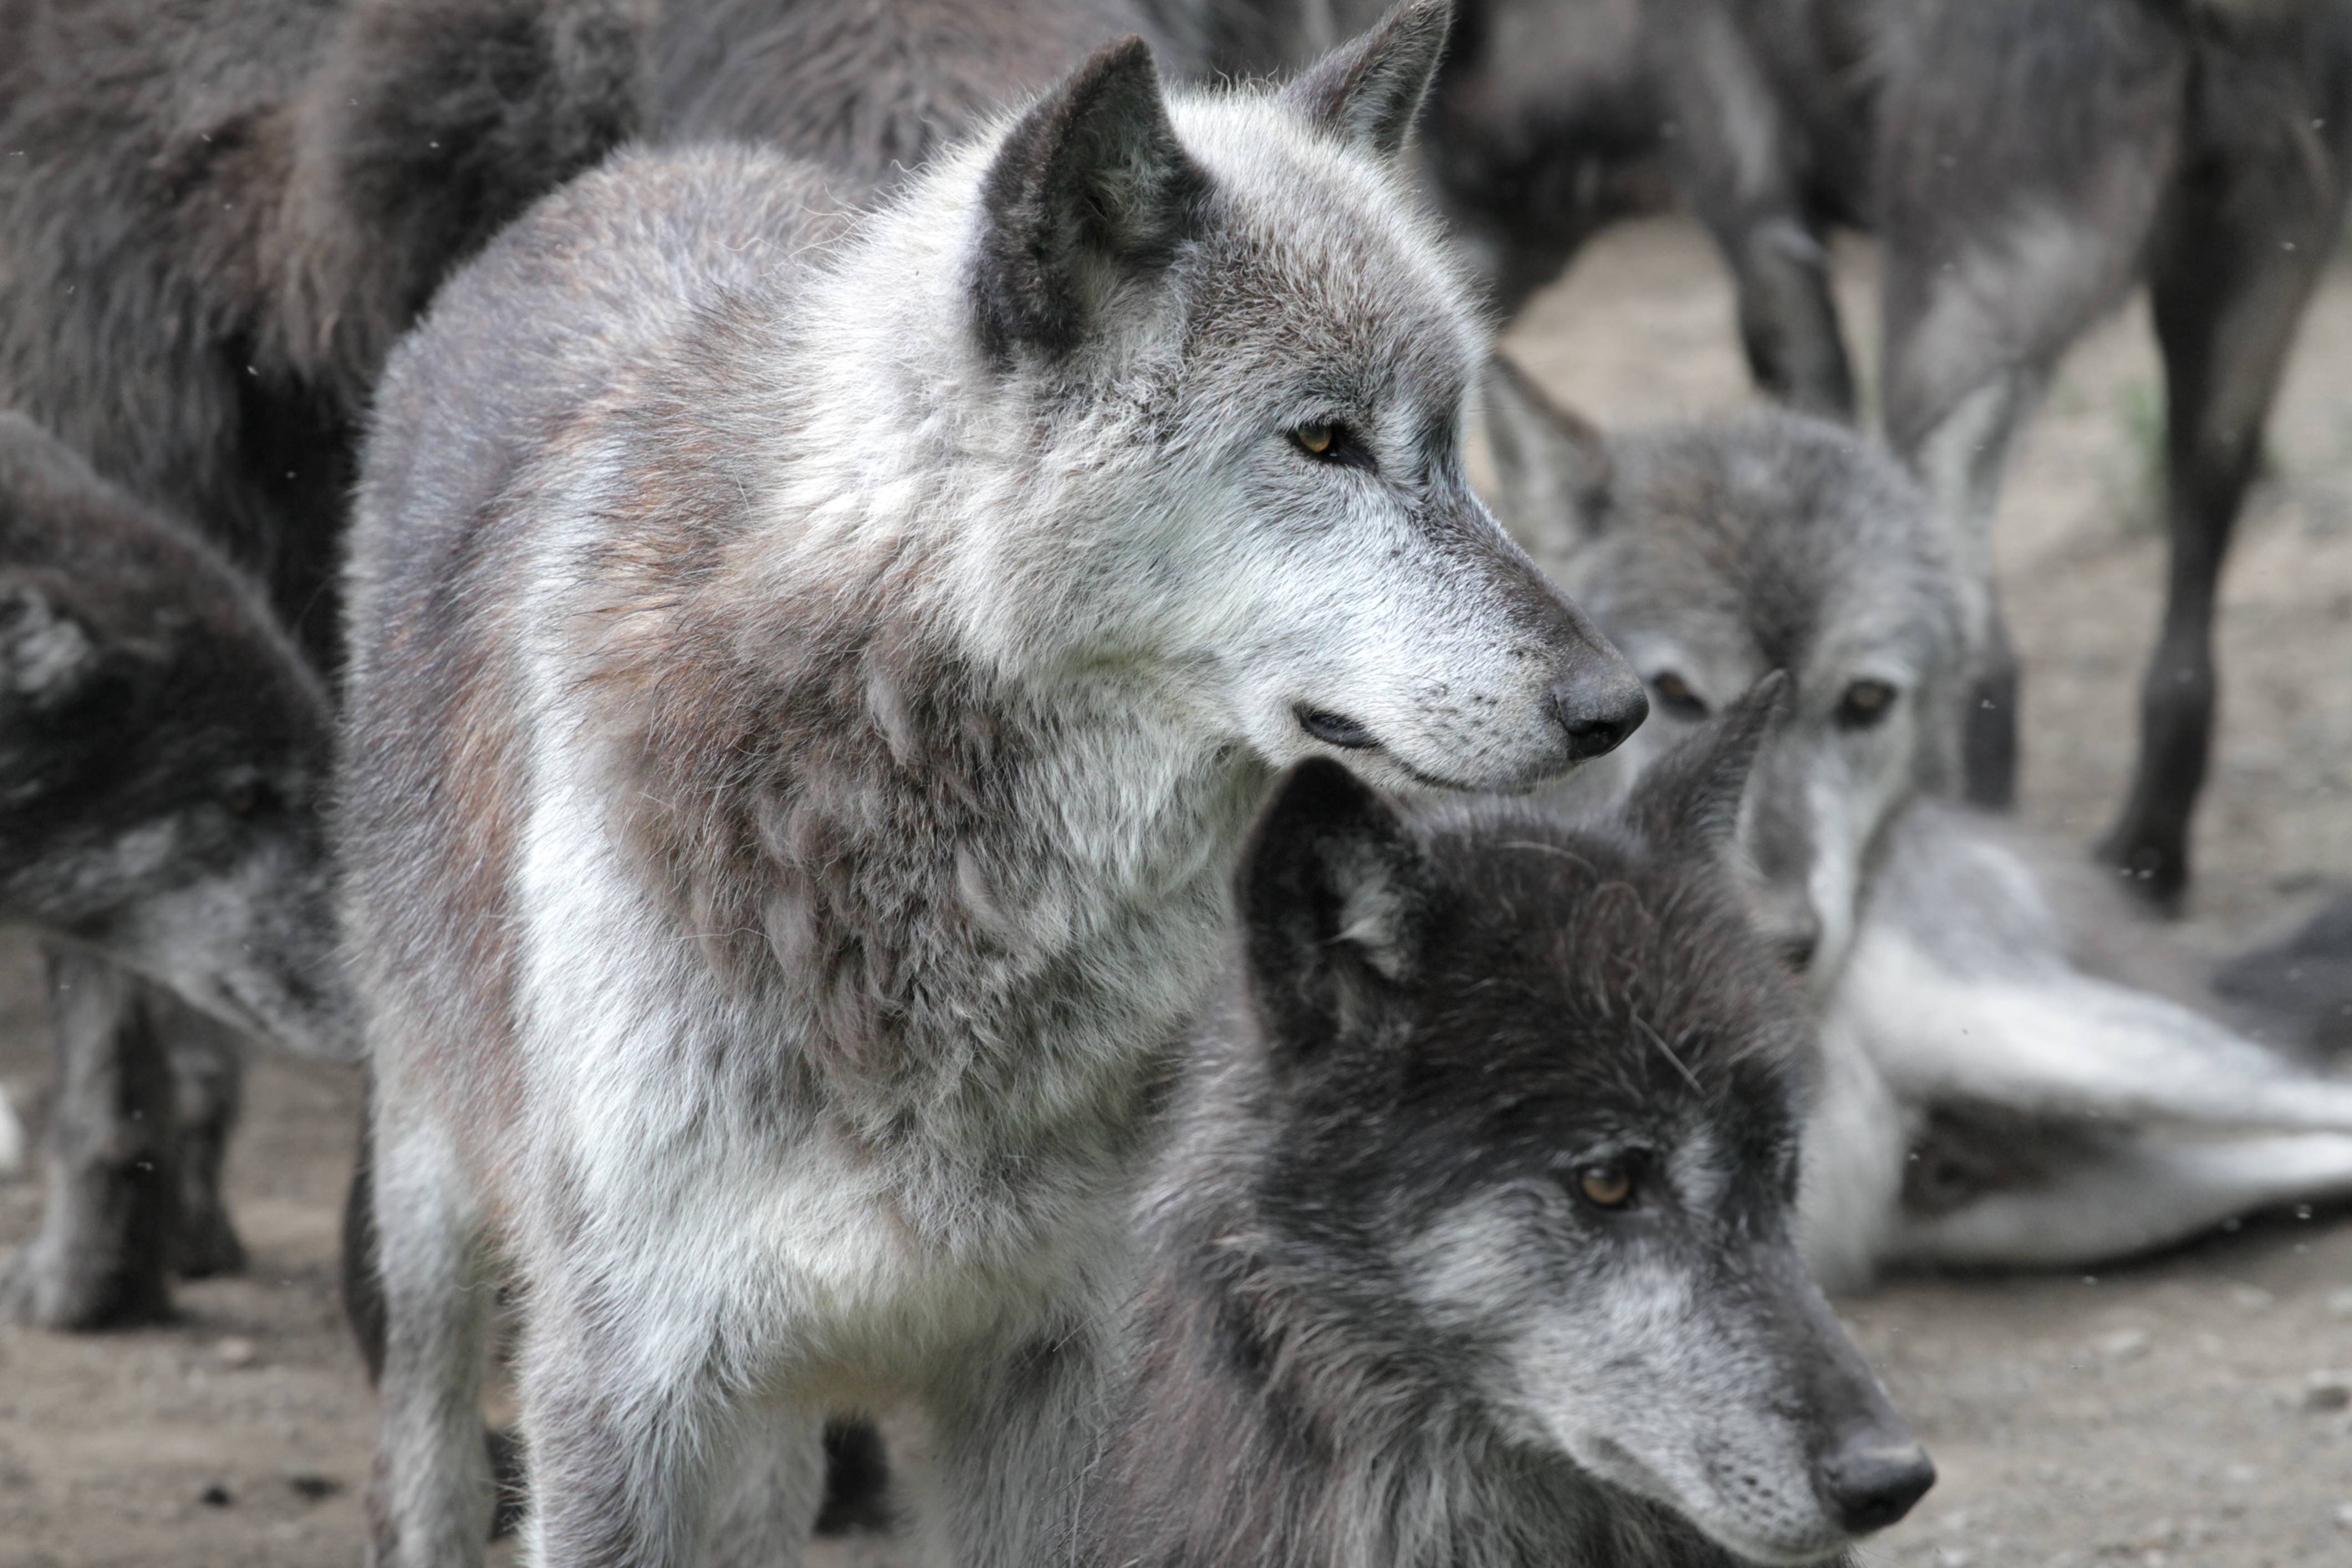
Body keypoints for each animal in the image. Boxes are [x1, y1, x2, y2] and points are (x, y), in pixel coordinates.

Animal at [340, 6, 1644, 1562]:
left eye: (1451, 441)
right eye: (1324, 440)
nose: (1615, 705)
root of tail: (647, 170)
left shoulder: (1066, 1374)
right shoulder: (618, 1391)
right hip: (433, 1198)